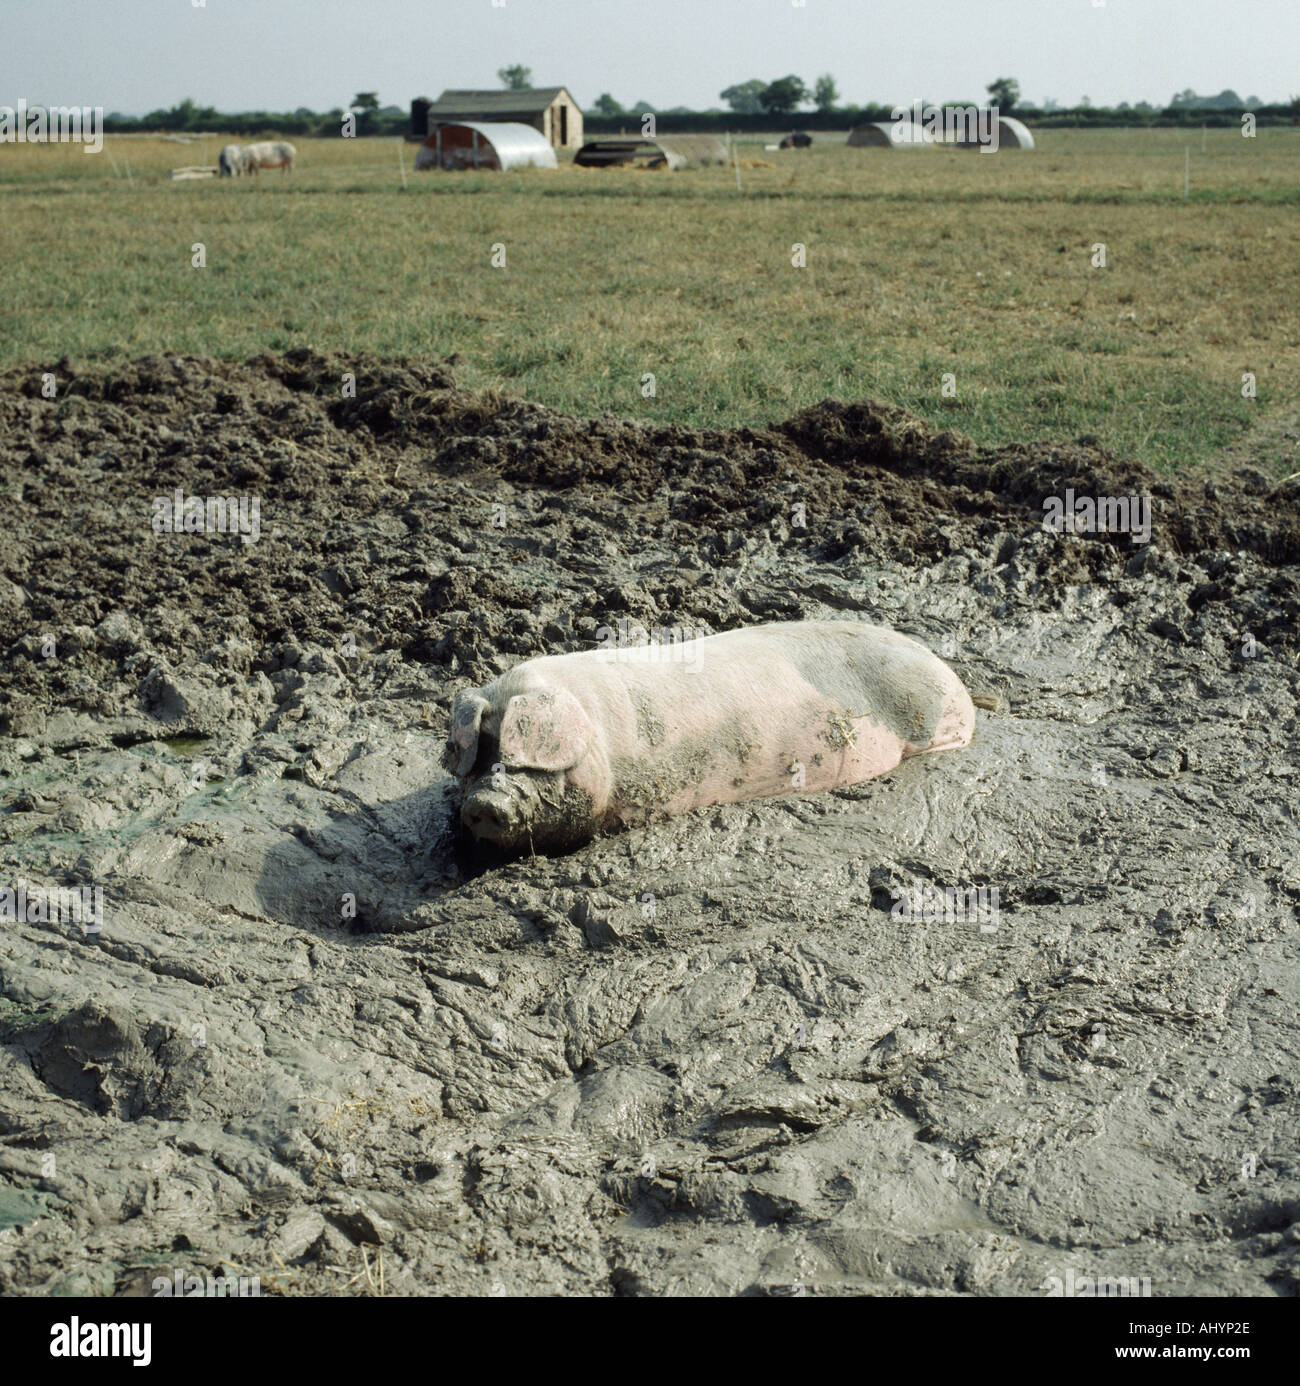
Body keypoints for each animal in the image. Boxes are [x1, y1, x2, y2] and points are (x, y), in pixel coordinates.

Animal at [437, 620, 975, 853]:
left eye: (527, 757)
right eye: (479, 757)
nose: (485, 801)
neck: (603, 743)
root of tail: (950, 675)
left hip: (935, 722)